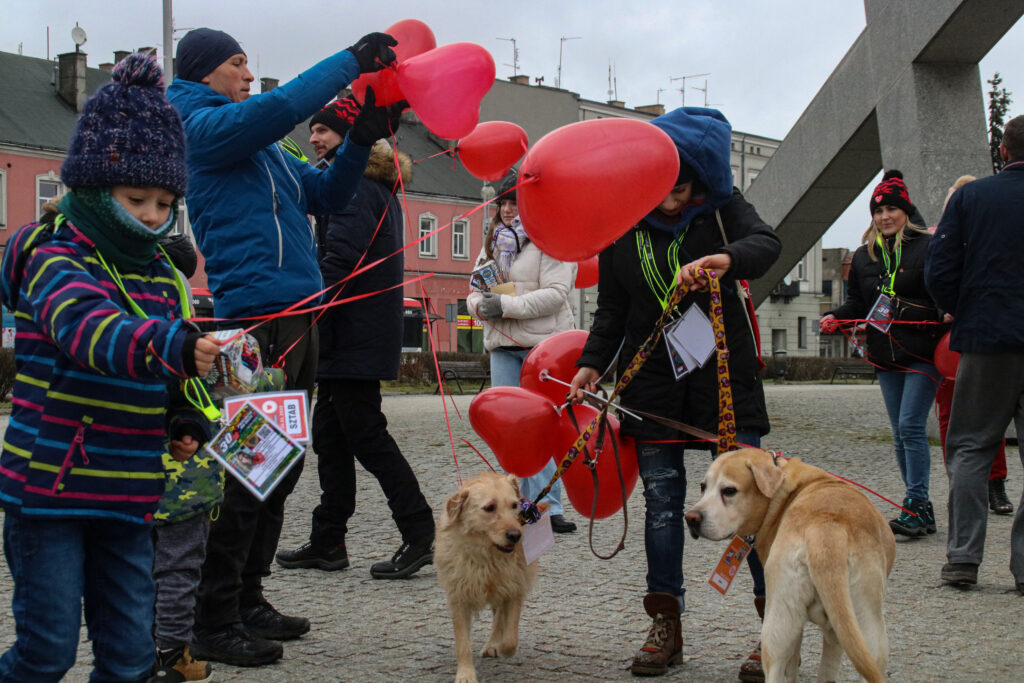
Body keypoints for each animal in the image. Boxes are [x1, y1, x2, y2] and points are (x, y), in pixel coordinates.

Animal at [434, 473, 548, 683]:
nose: (515, 535)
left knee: (499, 617)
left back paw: (494, 643)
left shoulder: (513, 588)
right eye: (489, 508)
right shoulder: (458, 597)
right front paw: (465, 673)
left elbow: (510, 637)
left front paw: (503, 647)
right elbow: (462, 643)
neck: (487, 556)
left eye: (514, 505)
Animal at [688, 448, 897, 683]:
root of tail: (826, 528)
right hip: (869, 632)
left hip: (778, 626)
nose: (691, 518)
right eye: (703, 486)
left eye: (729, 491)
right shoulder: (833, 633)